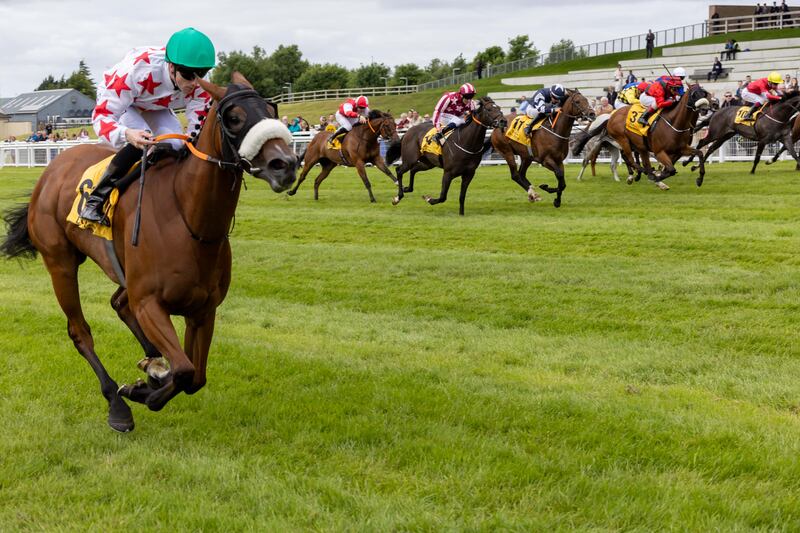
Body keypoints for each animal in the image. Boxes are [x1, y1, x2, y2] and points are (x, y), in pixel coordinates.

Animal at [0, 72, 296, 430]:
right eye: (235, 118)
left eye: (270, 109)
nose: (286, 163)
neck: (189, 221)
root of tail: (51, 170)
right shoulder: (150, 304)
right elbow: (184, 370)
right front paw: (139, 393)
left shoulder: (203, 310)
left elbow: (196, 377)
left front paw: (151, 380)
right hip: (60, 263)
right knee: (80, 331)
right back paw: (117, 403)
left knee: (119, 304)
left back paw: (153, 363)